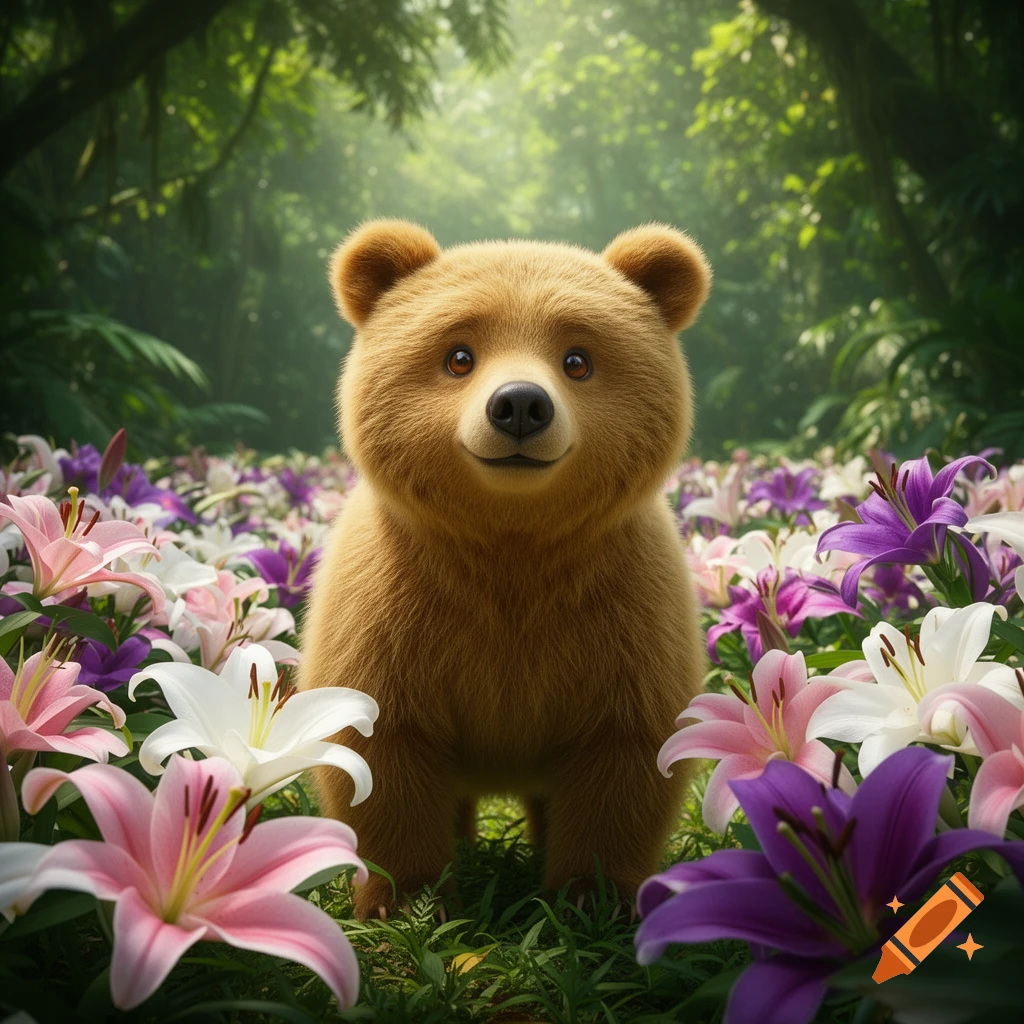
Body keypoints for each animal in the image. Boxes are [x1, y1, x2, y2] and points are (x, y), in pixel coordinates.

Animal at [297, 219, 711, 920]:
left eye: (578, 359)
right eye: (459, 356)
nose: (520, 404)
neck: (511, 546)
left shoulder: (623, 613)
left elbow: (626, 757)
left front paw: (592, 897)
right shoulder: (392, 609)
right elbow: (379, 751)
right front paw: (409, 901)